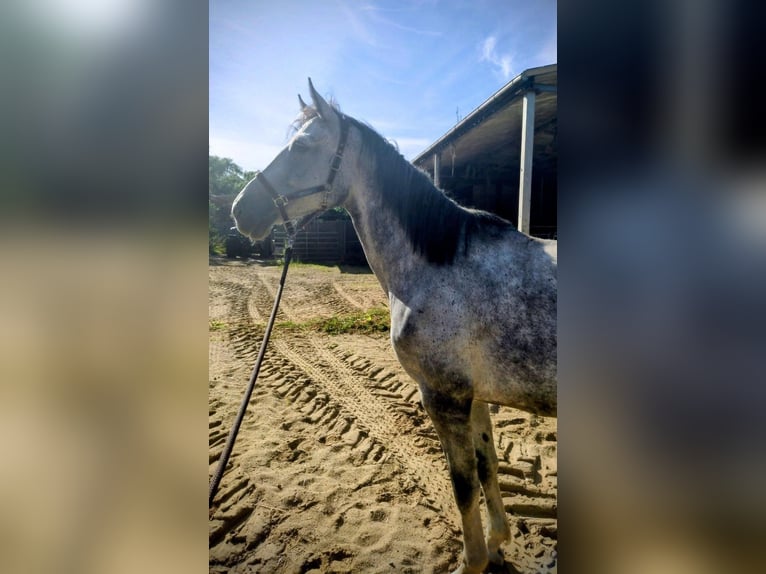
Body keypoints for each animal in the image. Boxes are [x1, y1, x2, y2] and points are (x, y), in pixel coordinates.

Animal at [231, 79, 557, 574]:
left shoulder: (444, 398)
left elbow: (463, 487)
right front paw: (498, 543)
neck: (439, 266)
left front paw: (473, 560)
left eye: (303, 145)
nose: (239, 210)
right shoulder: (474, 398)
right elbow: (488, 467)